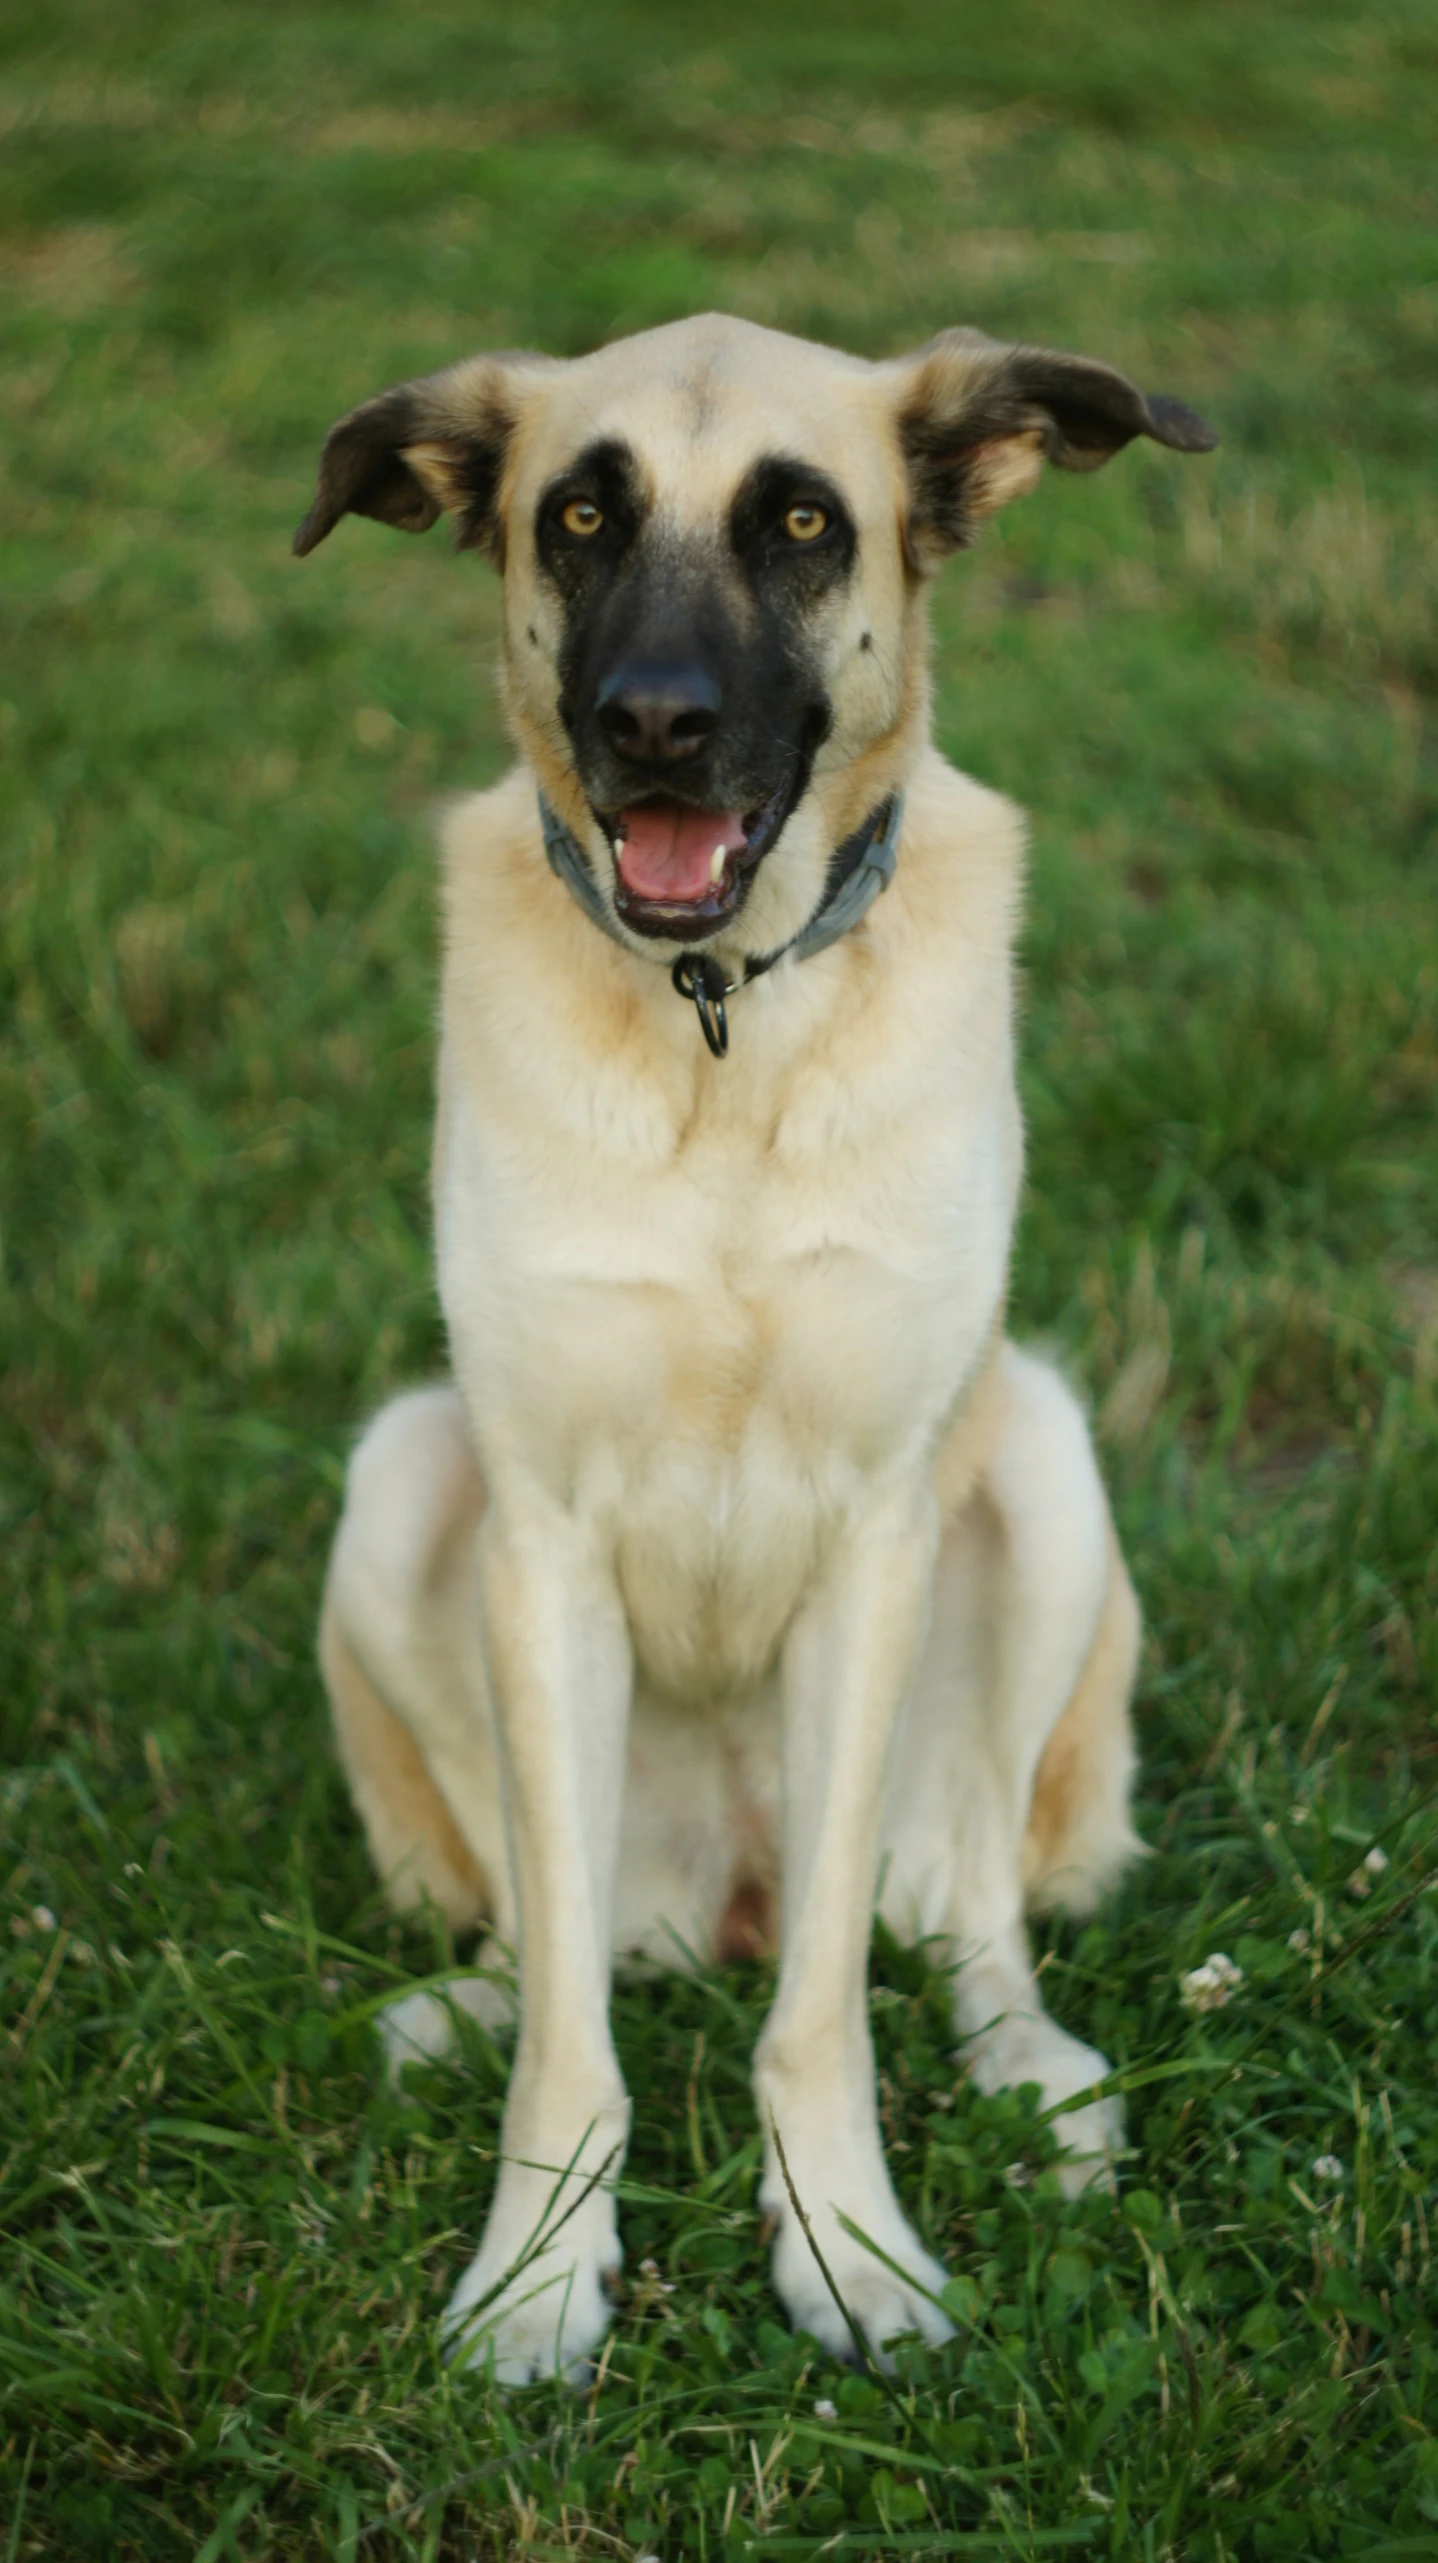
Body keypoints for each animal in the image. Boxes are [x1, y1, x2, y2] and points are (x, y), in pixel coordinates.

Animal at [297, 310, 1214, 2368]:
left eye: (801, 523)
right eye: (576, 517)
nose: (650, 724)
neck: (717, 1025)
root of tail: (706, 1896)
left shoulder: (878, 1529)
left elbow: (819, 2015)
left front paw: (848, 2247)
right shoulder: (541, 1537)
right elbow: (573, 2036)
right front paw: (538, 2270)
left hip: (1039, 1469)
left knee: (956, 1911)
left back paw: (1035, 2071)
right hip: (403, 1481)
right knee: (552, 1934)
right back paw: (465, 2004)